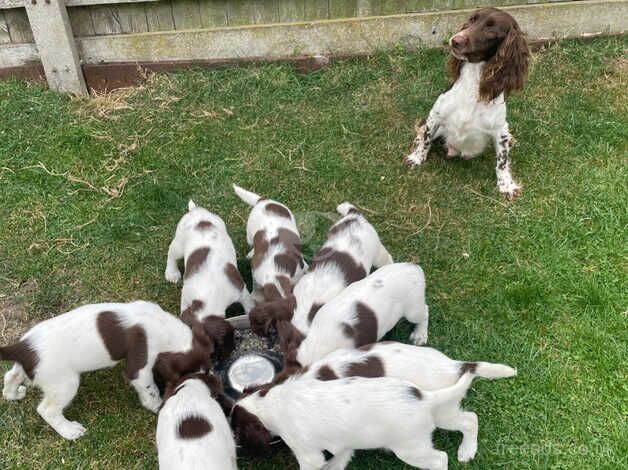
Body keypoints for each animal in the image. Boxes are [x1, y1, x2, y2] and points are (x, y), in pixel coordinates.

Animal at [0, 302, 212, 440]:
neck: (162, 325)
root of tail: (22, 347)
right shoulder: (139, 364)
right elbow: (148, 388)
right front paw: (157, 405)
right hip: (64, 383)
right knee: (47, 409)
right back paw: (70, 431)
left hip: (28, 368)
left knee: (11, 376)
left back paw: (13, 395)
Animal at [167, 200, 258, 358]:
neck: (208, 296)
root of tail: (197, 211)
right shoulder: (186, 295)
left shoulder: (241, 291)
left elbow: (249, 306)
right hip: (179, 242)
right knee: (171, 255)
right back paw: (171, 273)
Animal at [233, 372, 474, 468]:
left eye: (236, 430)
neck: (268, 402)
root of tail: (425, 397)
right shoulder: (342, 444)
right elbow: (340, 458)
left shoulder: (308, 454)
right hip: (441, 415)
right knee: (469, 419)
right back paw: (467, 451)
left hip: (410, 449)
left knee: (440, 458)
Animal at [404, 7, 528, 198]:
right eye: (472, 19)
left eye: (491, 30)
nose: (455, 40)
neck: (472, 86)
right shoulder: (435, 115)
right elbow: (426, 139)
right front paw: (416, 158)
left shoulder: (499, 130)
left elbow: (502, 161)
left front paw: (506, 185)